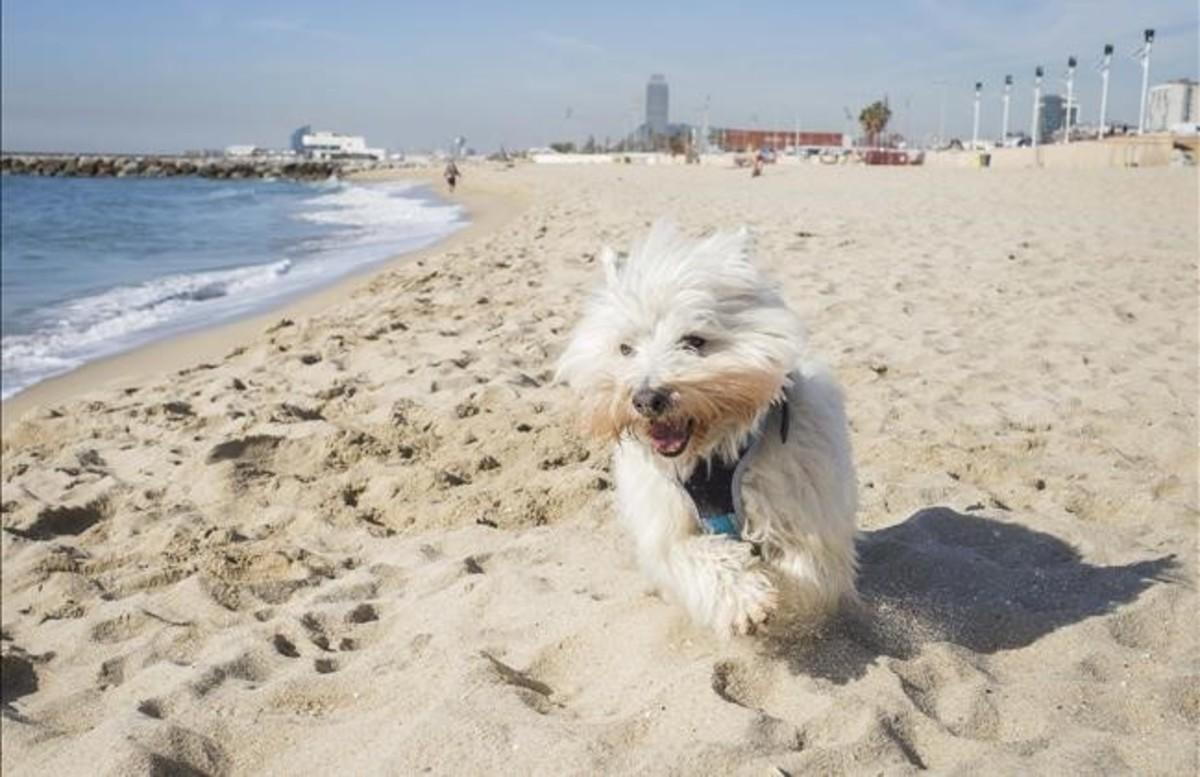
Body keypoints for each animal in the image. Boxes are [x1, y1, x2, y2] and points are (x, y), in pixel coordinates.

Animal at [556, 224, 859, 637]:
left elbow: (805, 569)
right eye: (625, 348)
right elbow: (695, 553)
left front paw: (780, 596)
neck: (712, 454)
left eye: (694, 341)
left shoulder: (806, 515)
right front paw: (746, 599)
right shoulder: (667, 523)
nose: (646, 399)